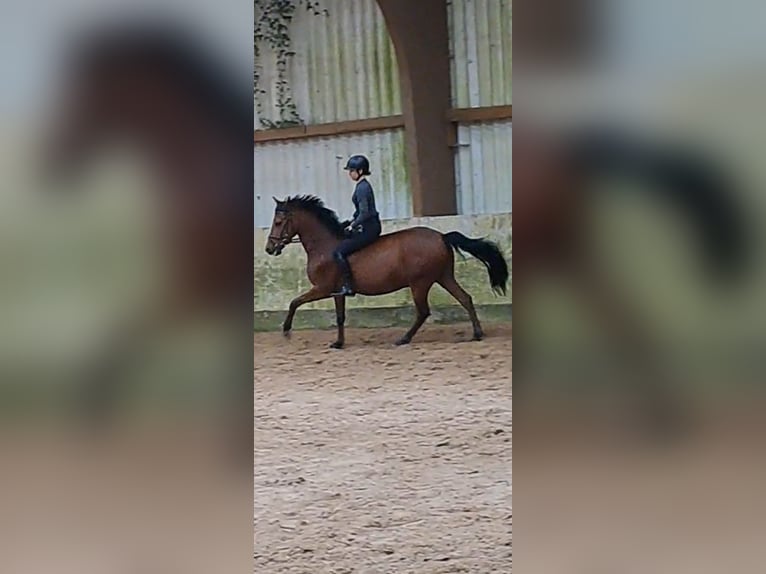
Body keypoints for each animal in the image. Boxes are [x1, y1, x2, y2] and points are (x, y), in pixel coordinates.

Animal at [264, 198, 510, 348]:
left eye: (278, 222)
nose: (269, 248)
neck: (324, 246)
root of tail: (441, 236)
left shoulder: (322, 289)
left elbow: (295, 302)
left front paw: (286, 331)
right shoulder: (337, 292)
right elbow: (340, 317)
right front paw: (338, 343)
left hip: (420, 283)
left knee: (423, 311)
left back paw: (403, 339)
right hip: (443, 277)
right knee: (465, 298)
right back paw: (477, 334)